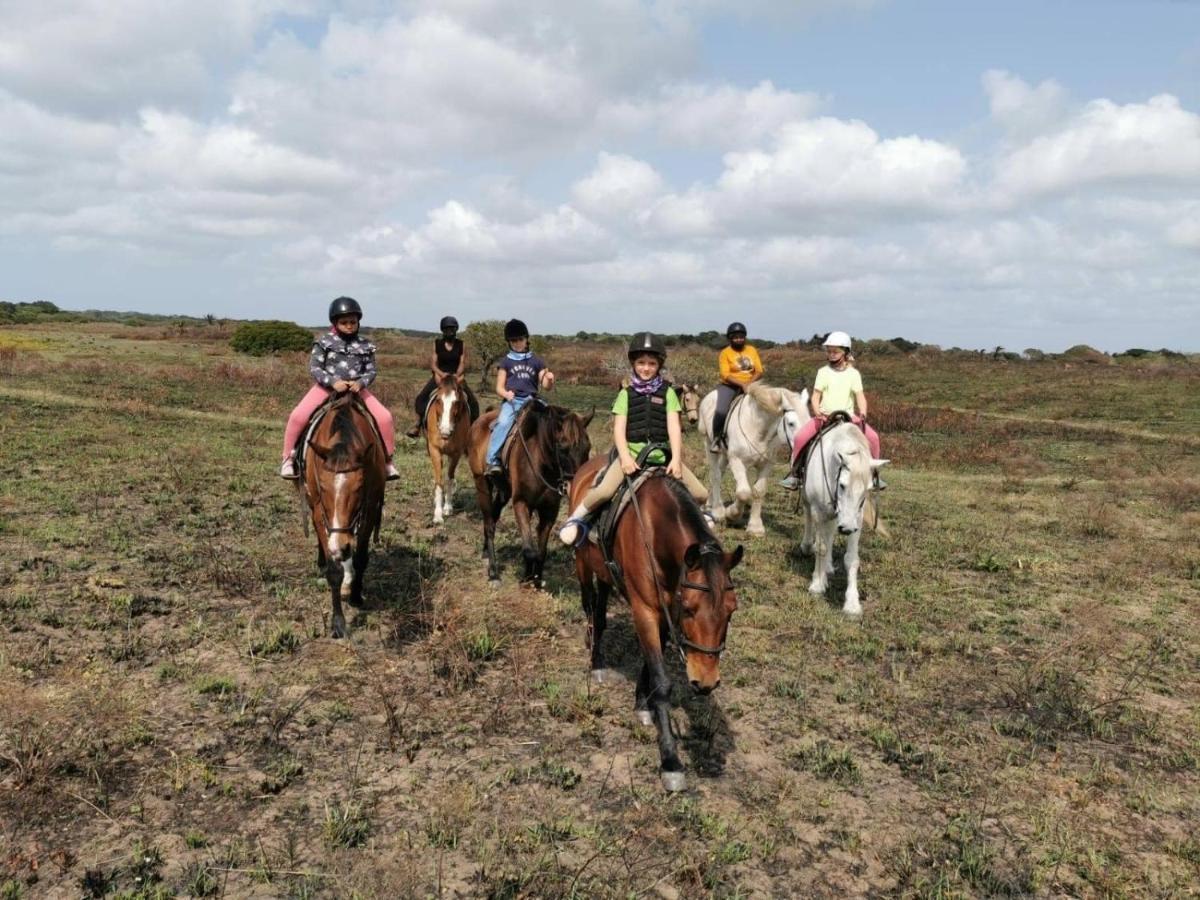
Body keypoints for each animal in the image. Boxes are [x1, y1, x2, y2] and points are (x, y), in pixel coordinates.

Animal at [298, 393, 384, 643]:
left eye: (359, 488)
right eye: (324, 487)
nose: (340, 547)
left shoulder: (369, 507)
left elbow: (361, 557)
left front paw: (355, 596)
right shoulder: (319, 509)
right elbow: (334, 571)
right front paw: (338, 623)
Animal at [470, 400, 597, 585]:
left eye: (587, 447)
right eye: (562, 448)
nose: (577, 484)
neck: (540, 461)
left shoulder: (550, 511)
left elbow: (541, 551)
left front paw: (536, 578)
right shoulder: (521, 503)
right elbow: (530, 550)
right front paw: (527, 577)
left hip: (504, 491)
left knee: (493, 517)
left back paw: (486, 552)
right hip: (482, 485)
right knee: (489, 524)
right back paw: (493, 573)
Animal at [568, 460, 739, 792]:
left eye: (731, 610)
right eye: (690, 609)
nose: (706, 681)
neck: (655, 533)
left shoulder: (664, 612)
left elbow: (650, 662)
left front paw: (641, 705)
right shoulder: (646, 609)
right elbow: (661, 681)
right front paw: (670, 761)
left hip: (605, 573)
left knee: (600, 611)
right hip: (583, 564)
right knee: (591, 610)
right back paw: (596, 662)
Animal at [700, 384, 811, 540]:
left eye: (809, 421)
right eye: (791, 423)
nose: (805, 449)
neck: (757, 428)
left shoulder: (766, 465)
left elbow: (758, 491)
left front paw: (755, 527)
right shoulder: (737, 460)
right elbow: (743, 492)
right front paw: (732, 514)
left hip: (725, 454)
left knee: (720, 473)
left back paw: (710, 504)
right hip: (709, 443)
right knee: (715, 475)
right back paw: (718, 511)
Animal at [796, 417, 892, 619]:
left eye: (868, 490)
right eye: (842, 485)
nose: (846, 528)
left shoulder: (856, 520)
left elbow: (851, 559)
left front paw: (852, 604)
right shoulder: (819, 512)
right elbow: (821, 547)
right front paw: (817, 585)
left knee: (830, 532)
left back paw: (828, 567)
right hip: (810, 502)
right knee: (809, 518)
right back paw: (808, 548)